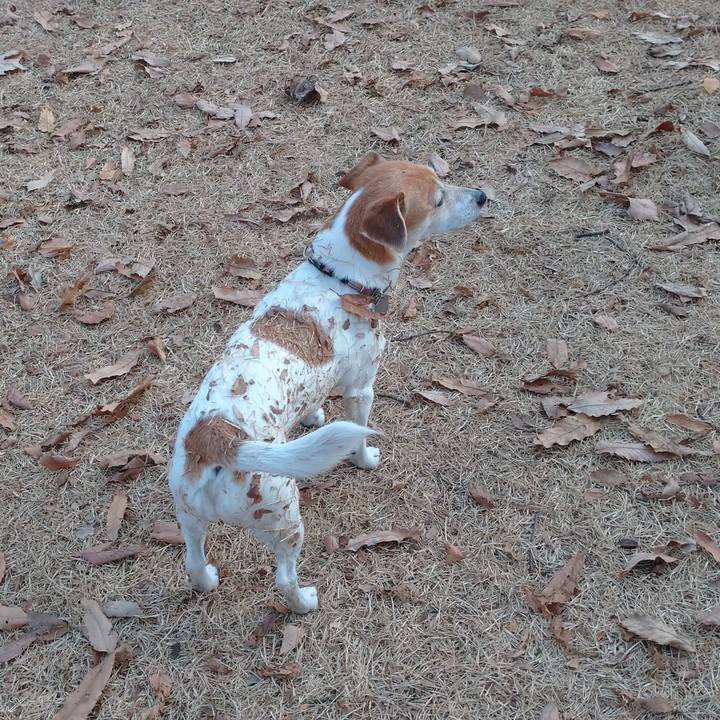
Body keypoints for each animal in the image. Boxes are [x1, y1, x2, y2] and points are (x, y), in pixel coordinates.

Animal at [168, 152, 487, 612]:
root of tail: (216, 440)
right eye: (439, 199)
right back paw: (305, 601)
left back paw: (207, 579)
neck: (341, 277)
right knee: (284, 578)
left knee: (193, 562)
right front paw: (366, 459)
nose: (482, 196)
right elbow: (359, 433)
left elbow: (313, 404)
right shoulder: (362, 387)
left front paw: (312, 417)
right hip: (284, 517)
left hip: (188, 517)